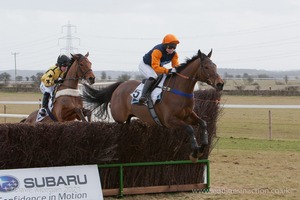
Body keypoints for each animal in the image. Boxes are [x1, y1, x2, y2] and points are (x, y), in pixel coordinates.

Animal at [81, 50, 223, 162]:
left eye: (215, 65)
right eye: (206, 67)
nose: (220, 84)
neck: (178, 90)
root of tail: (120, 85)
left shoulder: (188, 115)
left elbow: (203, 123)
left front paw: (202, 148)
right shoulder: (169, 120)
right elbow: (189, 129)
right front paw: (194, 153)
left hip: (128, 117)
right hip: (119, 118)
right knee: (117, 127)